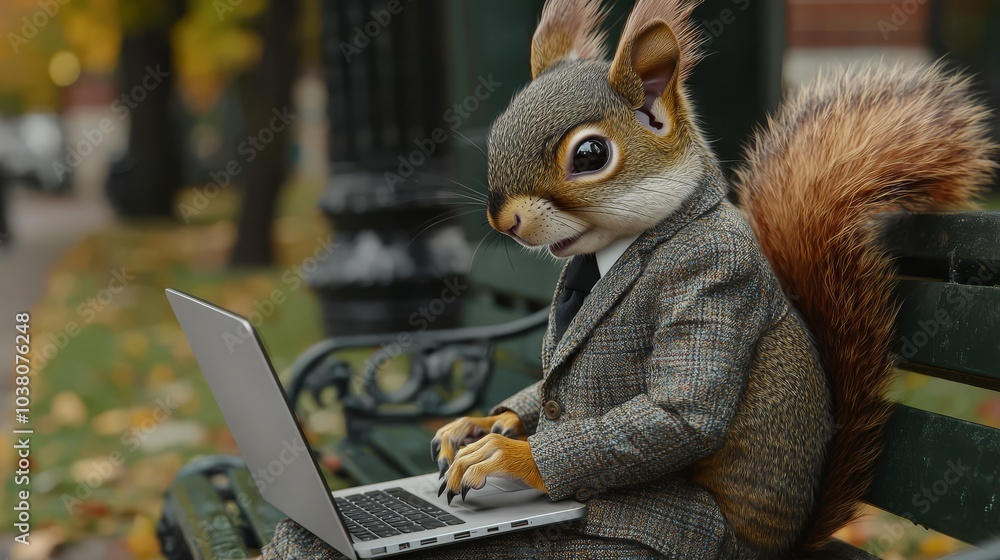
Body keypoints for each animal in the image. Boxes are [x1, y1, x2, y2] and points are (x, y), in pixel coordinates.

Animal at [430, 0, 998, 558]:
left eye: (591, 155)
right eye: (497, 134)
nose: (502, 221)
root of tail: (778, 545)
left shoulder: (711, 277)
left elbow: (681, 413)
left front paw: (504, 455)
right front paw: (487, 423)